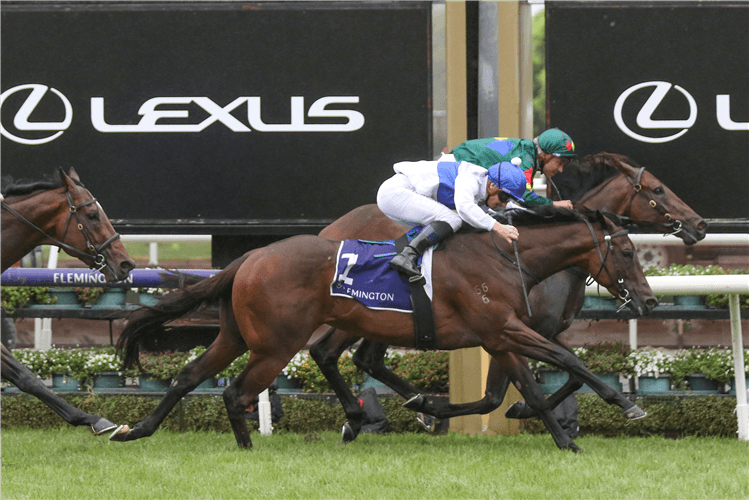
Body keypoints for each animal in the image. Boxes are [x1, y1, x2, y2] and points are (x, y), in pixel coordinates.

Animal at [306, 153, 704, 442]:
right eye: (658, 190)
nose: (699, 225)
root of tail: (331, 229)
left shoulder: (537, 329)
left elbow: (566, 375)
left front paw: (519, 411)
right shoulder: (506, 330)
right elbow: (508, 391)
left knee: (364, 358)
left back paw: (406, 406)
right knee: (328, 352)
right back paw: (365, 416)